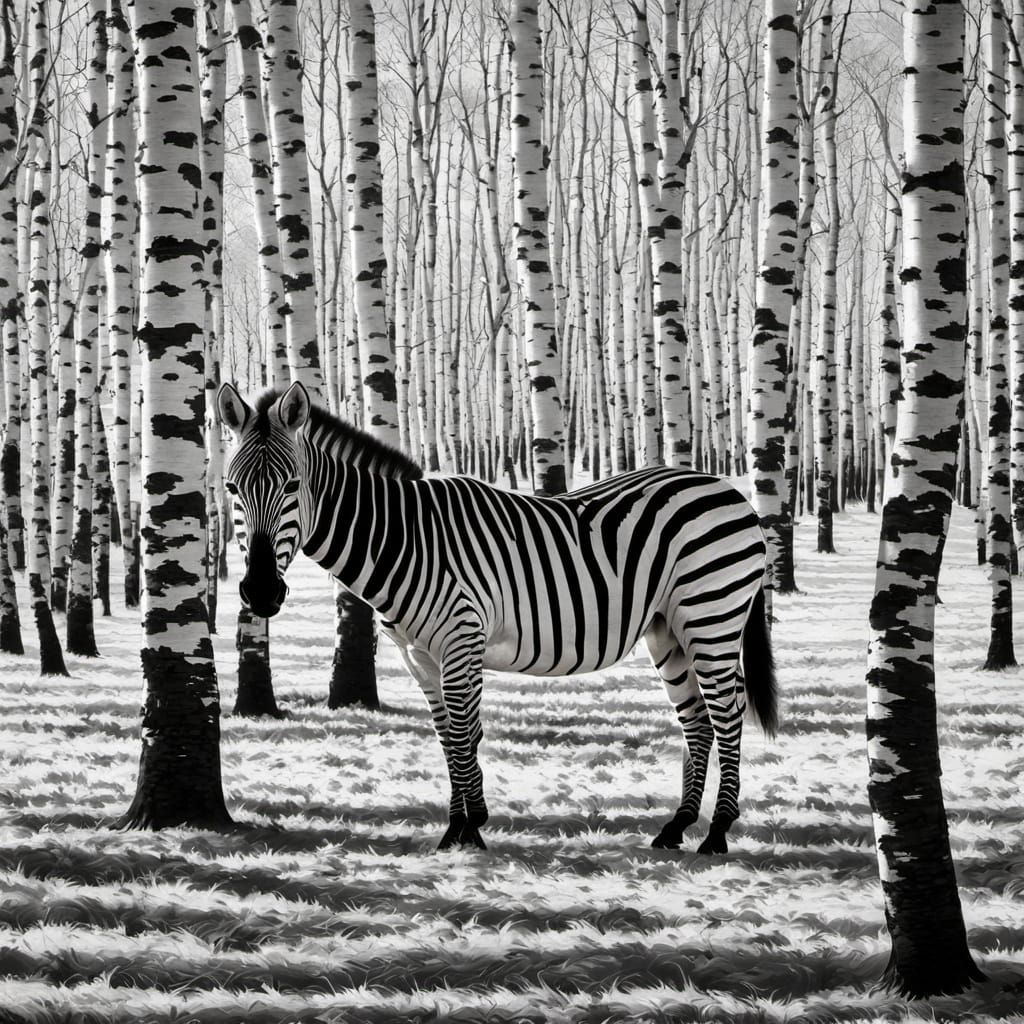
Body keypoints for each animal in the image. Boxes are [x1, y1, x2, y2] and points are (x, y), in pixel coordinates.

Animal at [218, 381, 778, 854]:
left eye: (292, 485)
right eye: (231, 489)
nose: (260, 593)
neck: (404, 539)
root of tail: (731, 492)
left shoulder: (461, 638)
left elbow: (467, 731)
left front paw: (470, 828)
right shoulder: (420, 657)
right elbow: (449, 735)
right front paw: (457, 828)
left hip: (712, 615)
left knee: (727, 713)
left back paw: (717, 833)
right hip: (668, 630)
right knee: (697, 721)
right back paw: (677, 827)